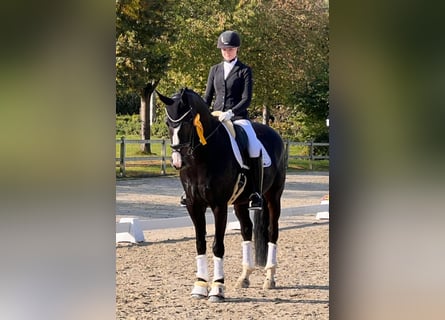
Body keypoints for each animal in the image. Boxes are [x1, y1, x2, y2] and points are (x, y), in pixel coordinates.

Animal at [158, 88, 286, 302]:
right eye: (168, 123)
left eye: (188, 120)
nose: (177, 162)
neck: (202, 157)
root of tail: (273, 133)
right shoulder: (194, 205)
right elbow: (200, 243)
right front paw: (200, 286)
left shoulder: (219, 205)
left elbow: (217, 245)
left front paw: (217, 289)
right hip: (241, 202)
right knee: (246, 230)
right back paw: (244, 277)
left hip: (273, 196)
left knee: (272, 232)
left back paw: (270, 278)